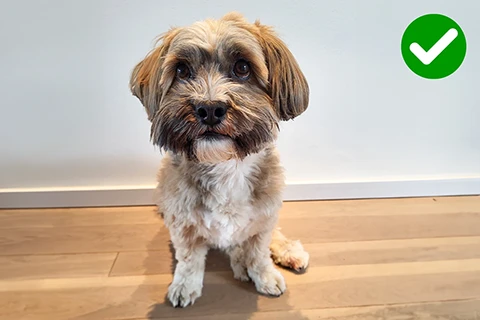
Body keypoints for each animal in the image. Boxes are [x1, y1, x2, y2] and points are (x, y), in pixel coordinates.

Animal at [129, 11, 312, 308]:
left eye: (243, 67)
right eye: (181, 70)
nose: (210, 108)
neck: (226, 166)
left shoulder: (263, 217)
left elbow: (259, 252)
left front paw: (264, 275)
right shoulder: (182, 223)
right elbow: (189, 259)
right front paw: (185, 285)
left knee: (273, 234)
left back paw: (287, 251)